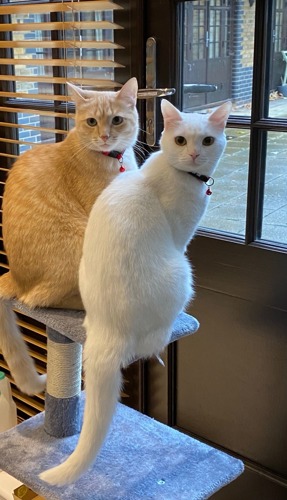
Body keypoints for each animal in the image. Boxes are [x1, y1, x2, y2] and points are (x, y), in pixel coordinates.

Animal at [40, 99, 233, 486]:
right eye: (180, 140)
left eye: (206, 140)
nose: (193, 154)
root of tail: (107, 327)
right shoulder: (182, 237)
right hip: (183, 271)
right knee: (151, 342)